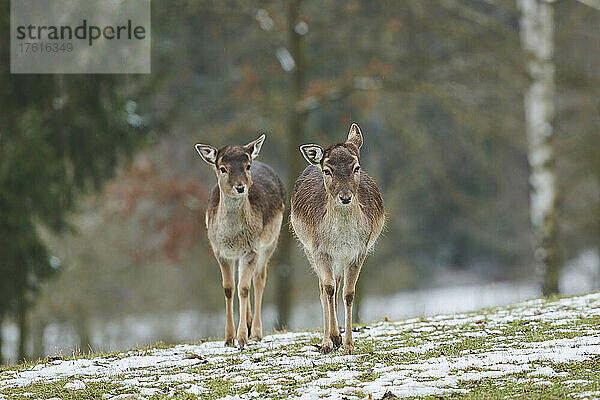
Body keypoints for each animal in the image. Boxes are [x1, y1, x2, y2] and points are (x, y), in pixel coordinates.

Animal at [193, 134, 284, 346]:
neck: (232, 238)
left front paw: (241, 338)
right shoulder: (220, 251)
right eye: (222, 168)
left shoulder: (251, 249)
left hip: (270, 243)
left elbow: (244, 288)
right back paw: (249, 325)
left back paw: (256, 331)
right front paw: (228, 338)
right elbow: (229, 288)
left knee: (259, 279)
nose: (241, 187)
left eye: (247, 166)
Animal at [290, 122, 384, 354]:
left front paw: (348, 344)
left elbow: (348, 293)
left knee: (336, 282)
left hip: (339, 260)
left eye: (356, 167)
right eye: (327, 170)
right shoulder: (319, 250)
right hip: (308, 250)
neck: (342, 239)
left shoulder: (358, 252)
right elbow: (328, 288)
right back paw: (328, 341)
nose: (345, 197)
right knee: (323, 288)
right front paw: (332, 339)